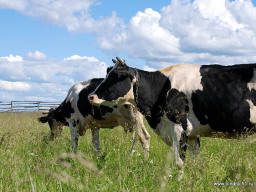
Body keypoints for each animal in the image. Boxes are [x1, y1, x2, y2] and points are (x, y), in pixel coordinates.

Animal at [89, 57, 256, 170]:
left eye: (116, 77)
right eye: (107, 75)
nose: (90, 96)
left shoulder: (178, 127)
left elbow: (179, 162)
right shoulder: (192, 134)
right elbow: (198, 163)